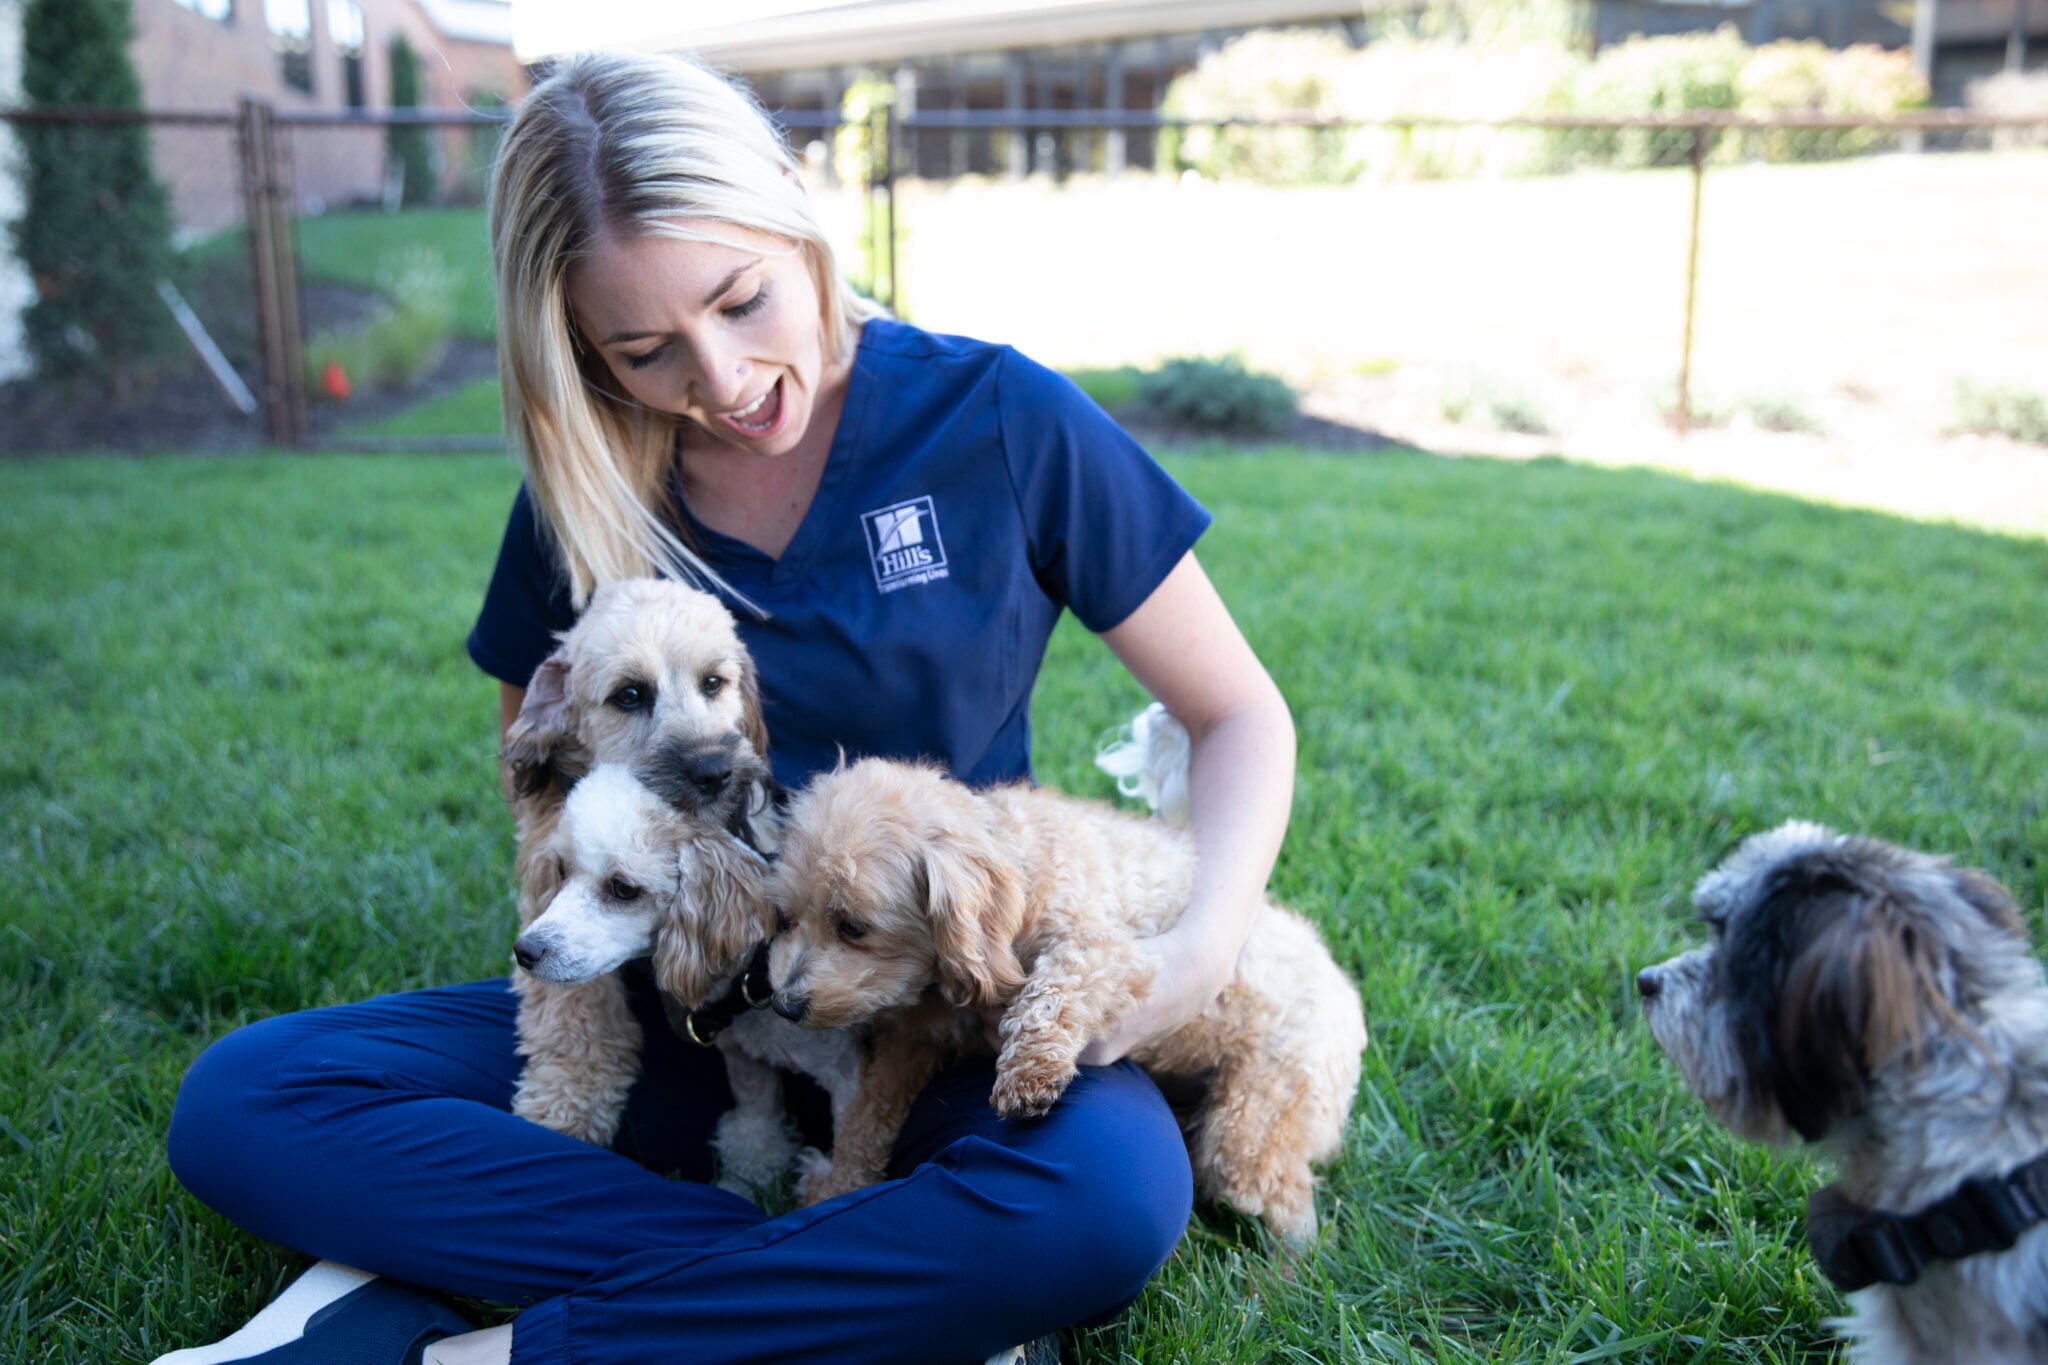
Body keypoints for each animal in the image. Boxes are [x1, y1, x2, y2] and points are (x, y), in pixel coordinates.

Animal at [761, 757, 1368, 1252]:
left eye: (852, 927)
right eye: (786, 918)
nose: (784, 1004)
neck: (1015, 870)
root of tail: (1348, 1001)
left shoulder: (1108, 951)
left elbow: (1053, 990)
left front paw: (1031, 1074)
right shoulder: (912, 1040)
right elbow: (868, 1116)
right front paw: (835, 1188)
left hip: (1252, 1124)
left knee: (1290, 1209)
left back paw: (1282, 1286)